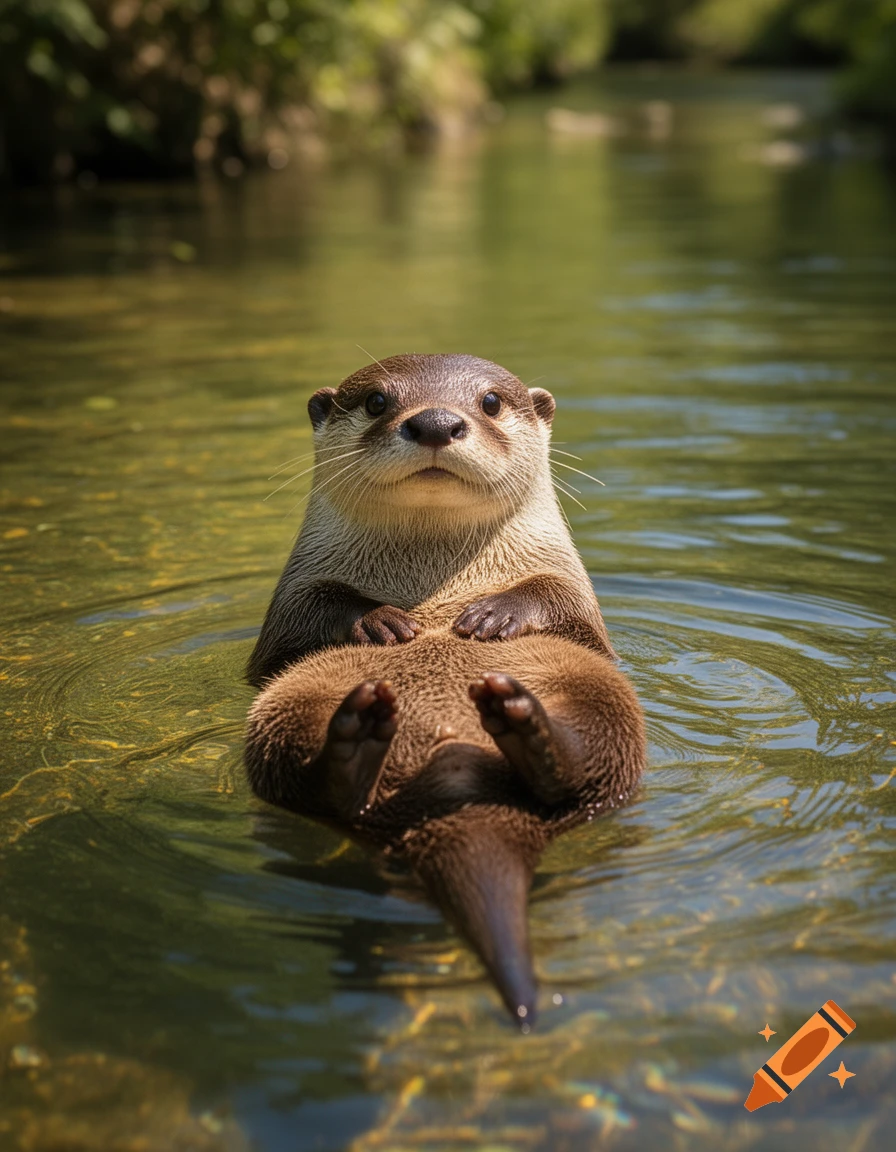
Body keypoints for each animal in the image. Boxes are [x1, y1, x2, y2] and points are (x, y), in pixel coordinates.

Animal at [244, 354, 646, 1027]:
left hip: (599, 693)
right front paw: (381, 621)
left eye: (490, 401)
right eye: (378, 401)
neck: (436, 581)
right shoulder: (290, 606)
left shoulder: (576, 597)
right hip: (284, 704)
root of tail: (455, 789)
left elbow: (558, 601)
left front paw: (493, 615)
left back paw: (524, 720)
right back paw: (356, 737)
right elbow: (311, 612)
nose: (435, 421)